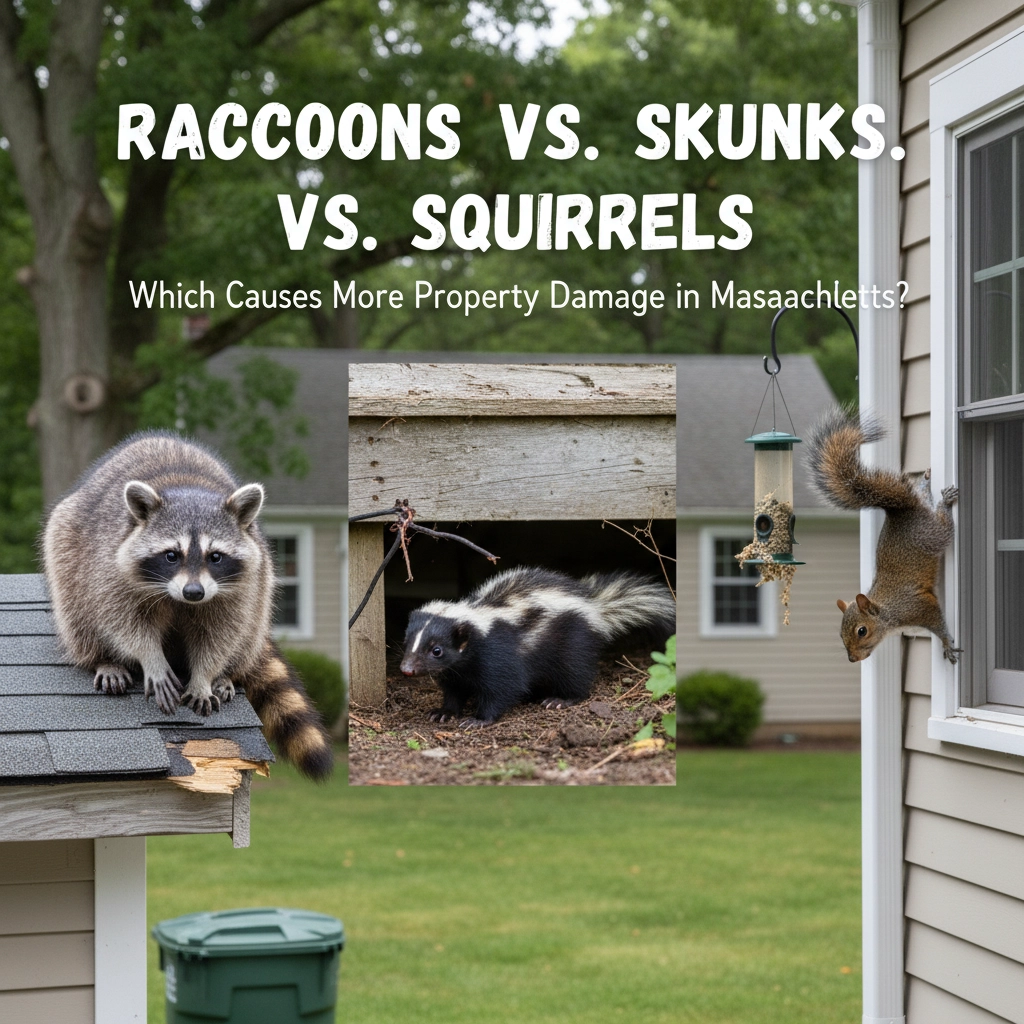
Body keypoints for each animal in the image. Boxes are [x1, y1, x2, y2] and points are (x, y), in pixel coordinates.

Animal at [41, 431, 334, 780]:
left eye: (215, 556)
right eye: (171, 555)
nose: (194, 592)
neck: (188, 489)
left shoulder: (239, 588)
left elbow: (223, 632)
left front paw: (205, 675)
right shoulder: (109, 567)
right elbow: (122, 620)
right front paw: (150, 658)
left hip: (262, 575)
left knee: (251, 626)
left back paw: (228, 674)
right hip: (70, 544)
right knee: (75, 605)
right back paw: (101, 658)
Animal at [805, 408, 962, 664]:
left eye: (862, 631)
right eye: (840, 634)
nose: (852, 659)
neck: (887, 613)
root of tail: (902, 511)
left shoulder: (920, 607)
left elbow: (938, 624)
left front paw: (947, 643)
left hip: (933, 533)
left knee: (944, 523)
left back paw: (946, 502)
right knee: (923, 497)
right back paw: (925, 482)